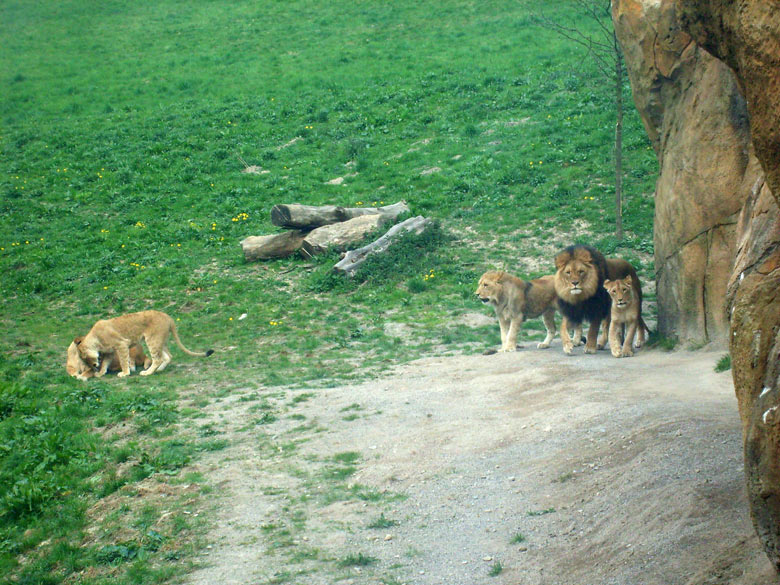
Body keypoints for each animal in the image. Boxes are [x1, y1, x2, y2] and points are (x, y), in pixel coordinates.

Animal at [78, 310, 215, 378]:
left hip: (152, 340)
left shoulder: (121, 345)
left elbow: (123, 361)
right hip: (160, 341)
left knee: (157, 359)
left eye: (88, 360)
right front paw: (100, 373)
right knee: (168, 356)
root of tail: (168, 317)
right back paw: (158, 370)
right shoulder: (110, 352)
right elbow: (105, 363)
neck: (95, 339)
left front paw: (125, 373)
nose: (94, 366)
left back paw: (148, 372)